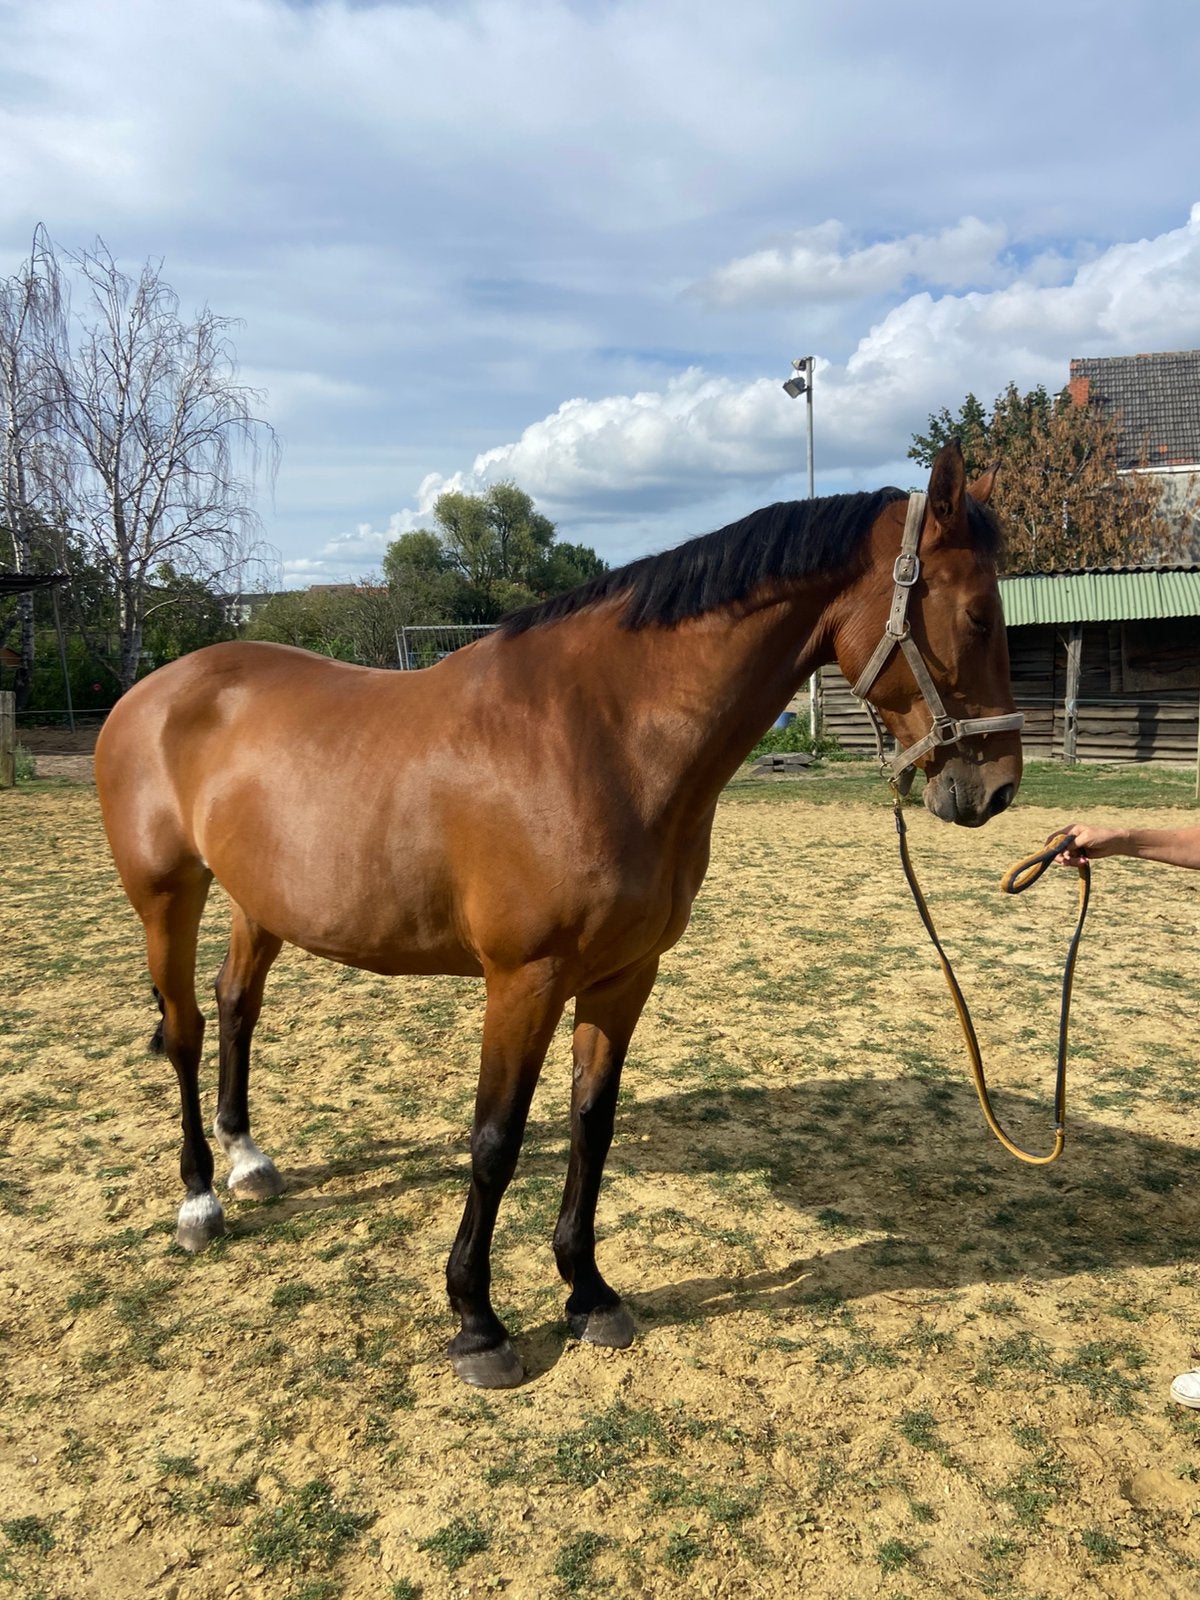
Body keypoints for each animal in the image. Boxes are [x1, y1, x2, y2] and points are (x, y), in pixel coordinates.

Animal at [94, 440, 1022, 1389]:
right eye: (979, 615)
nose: (996, 788)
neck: (602, 737)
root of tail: (155, 688)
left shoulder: (624, 975)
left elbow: (591, 1124)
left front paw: (588, 1292)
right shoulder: (523, 981)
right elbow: (495, 1140)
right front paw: (477, 1321)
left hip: (261, 900)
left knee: (238, 1005)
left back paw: (247, 1158)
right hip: (166, 896)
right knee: (186, 1028)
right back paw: (199, 1201)